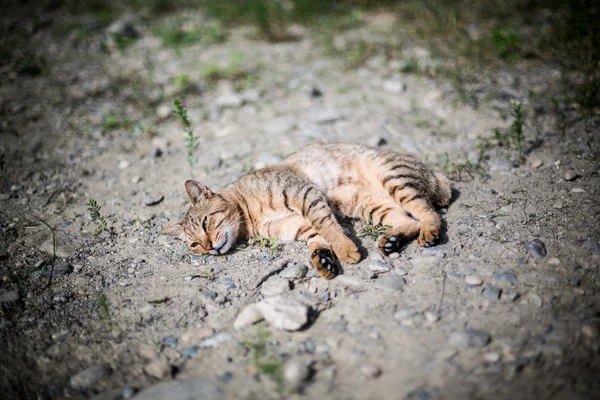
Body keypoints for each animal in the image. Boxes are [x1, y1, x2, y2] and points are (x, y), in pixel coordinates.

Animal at [159, 143, 450, 278]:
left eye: (206, 223)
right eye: (194, 244)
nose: (208, 247)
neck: (249, 216)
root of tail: (432, 171)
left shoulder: (304, 194)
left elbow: (327, 226)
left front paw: (345, 249)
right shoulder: (294, 225)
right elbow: (317, 237)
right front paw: (323, 260)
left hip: (393, 177)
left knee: (426, 211)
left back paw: (430, 231)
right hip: (373, 206)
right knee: (409, 220)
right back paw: (392, 240)